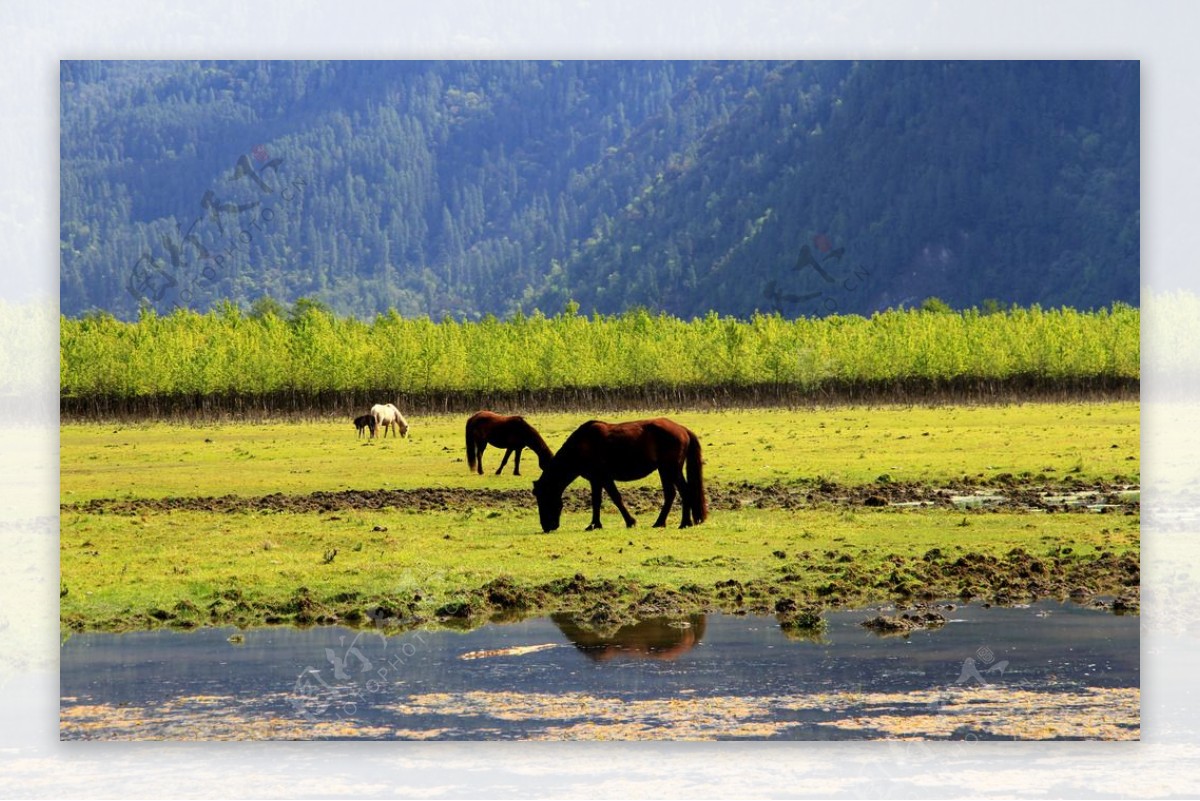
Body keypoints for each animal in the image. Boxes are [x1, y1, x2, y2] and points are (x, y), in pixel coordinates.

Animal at [530, 419, 705, 532]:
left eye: (544, 499)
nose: (547, 526)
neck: (582, 445)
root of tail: (682, 429)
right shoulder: (596, 480)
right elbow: (596, 501)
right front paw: (594, 524)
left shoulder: (604, 477)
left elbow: (616, 498)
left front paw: (630, 522)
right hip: (666, 470)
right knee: (672, 493)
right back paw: (663, 522)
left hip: (670, 469)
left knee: (684, 492)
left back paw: (683, 523)